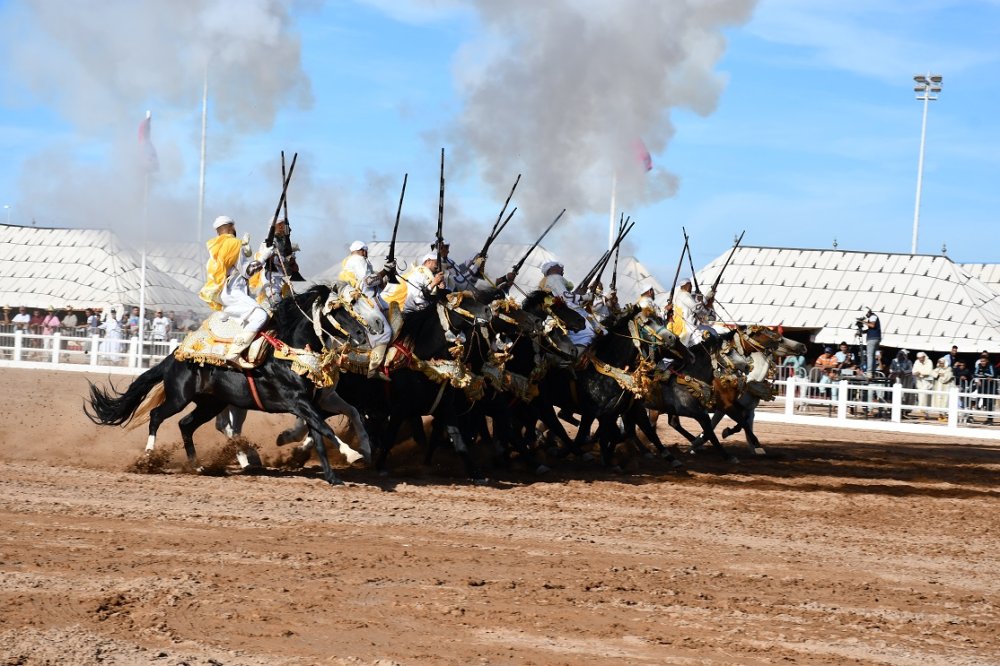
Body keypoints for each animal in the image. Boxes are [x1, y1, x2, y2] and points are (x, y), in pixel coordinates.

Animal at [84, 284, 370, 482]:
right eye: (337, 311)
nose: (362, 333)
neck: (289, 352)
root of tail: (174, 356)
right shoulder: (297, 402)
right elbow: (325, 429)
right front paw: (352, 455)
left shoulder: (314, 401)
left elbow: (332, 426)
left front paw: (343, 467)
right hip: (179, 397)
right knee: (157, 416)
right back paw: (147, 458)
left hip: (211, 404)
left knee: (185, 425)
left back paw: (198, 466)